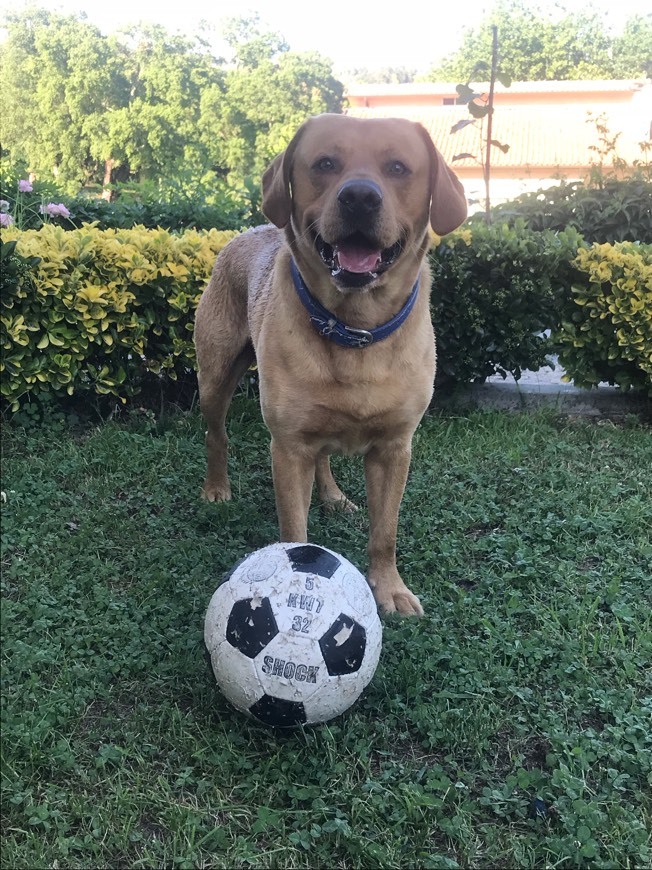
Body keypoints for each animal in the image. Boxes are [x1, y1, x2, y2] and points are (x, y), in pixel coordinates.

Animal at [195, 116, 468, 616]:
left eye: (397, 167)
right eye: (324, 164)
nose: (359, 197)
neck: (354, 329)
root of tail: (249, 229)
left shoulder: (395, 448)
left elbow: (385, 532)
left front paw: (389, 588)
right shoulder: (287, 447)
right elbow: (294, 533)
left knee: (323, 456)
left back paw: (333, 495)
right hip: (216, 374)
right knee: (215, 432)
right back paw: (216, 487)